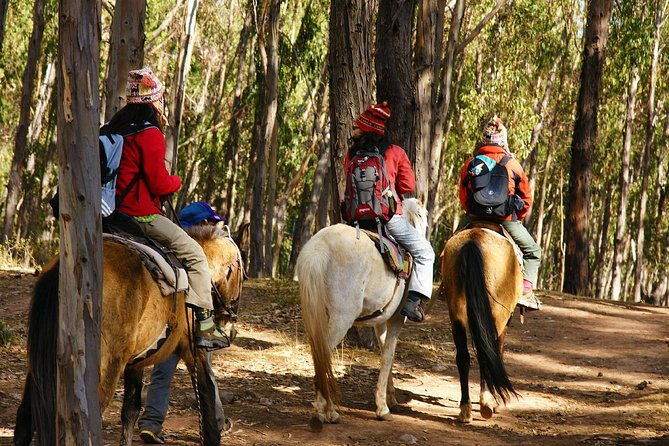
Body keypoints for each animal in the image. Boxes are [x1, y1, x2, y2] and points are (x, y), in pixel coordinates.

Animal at [13, 223, 244, 446]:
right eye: (242, 274)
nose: (230, 319)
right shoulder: (194, 349)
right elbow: (207, 394)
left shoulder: (135, 362)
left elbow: (130, 410)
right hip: (105, 368)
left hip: (42, 363)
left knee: (25, 417)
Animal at [297, 198, 428, 426]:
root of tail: (320, 249)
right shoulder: (396, 319)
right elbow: (388, 356)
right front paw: (382, 408)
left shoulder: (380, 322)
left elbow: (385, 353)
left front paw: (390, 399)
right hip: (341, 318)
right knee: (324, 354)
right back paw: (327, 411)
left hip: (317, 314)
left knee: (318, 353)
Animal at [440, 220, 520, 423]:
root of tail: (473, 241)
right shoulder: (504, 321)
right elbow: (497, 351)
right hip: (496, 314)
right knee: (487, 352)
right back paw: (487, 403)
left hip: (456, 312)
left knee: (463, 356)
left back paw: (465, 409)